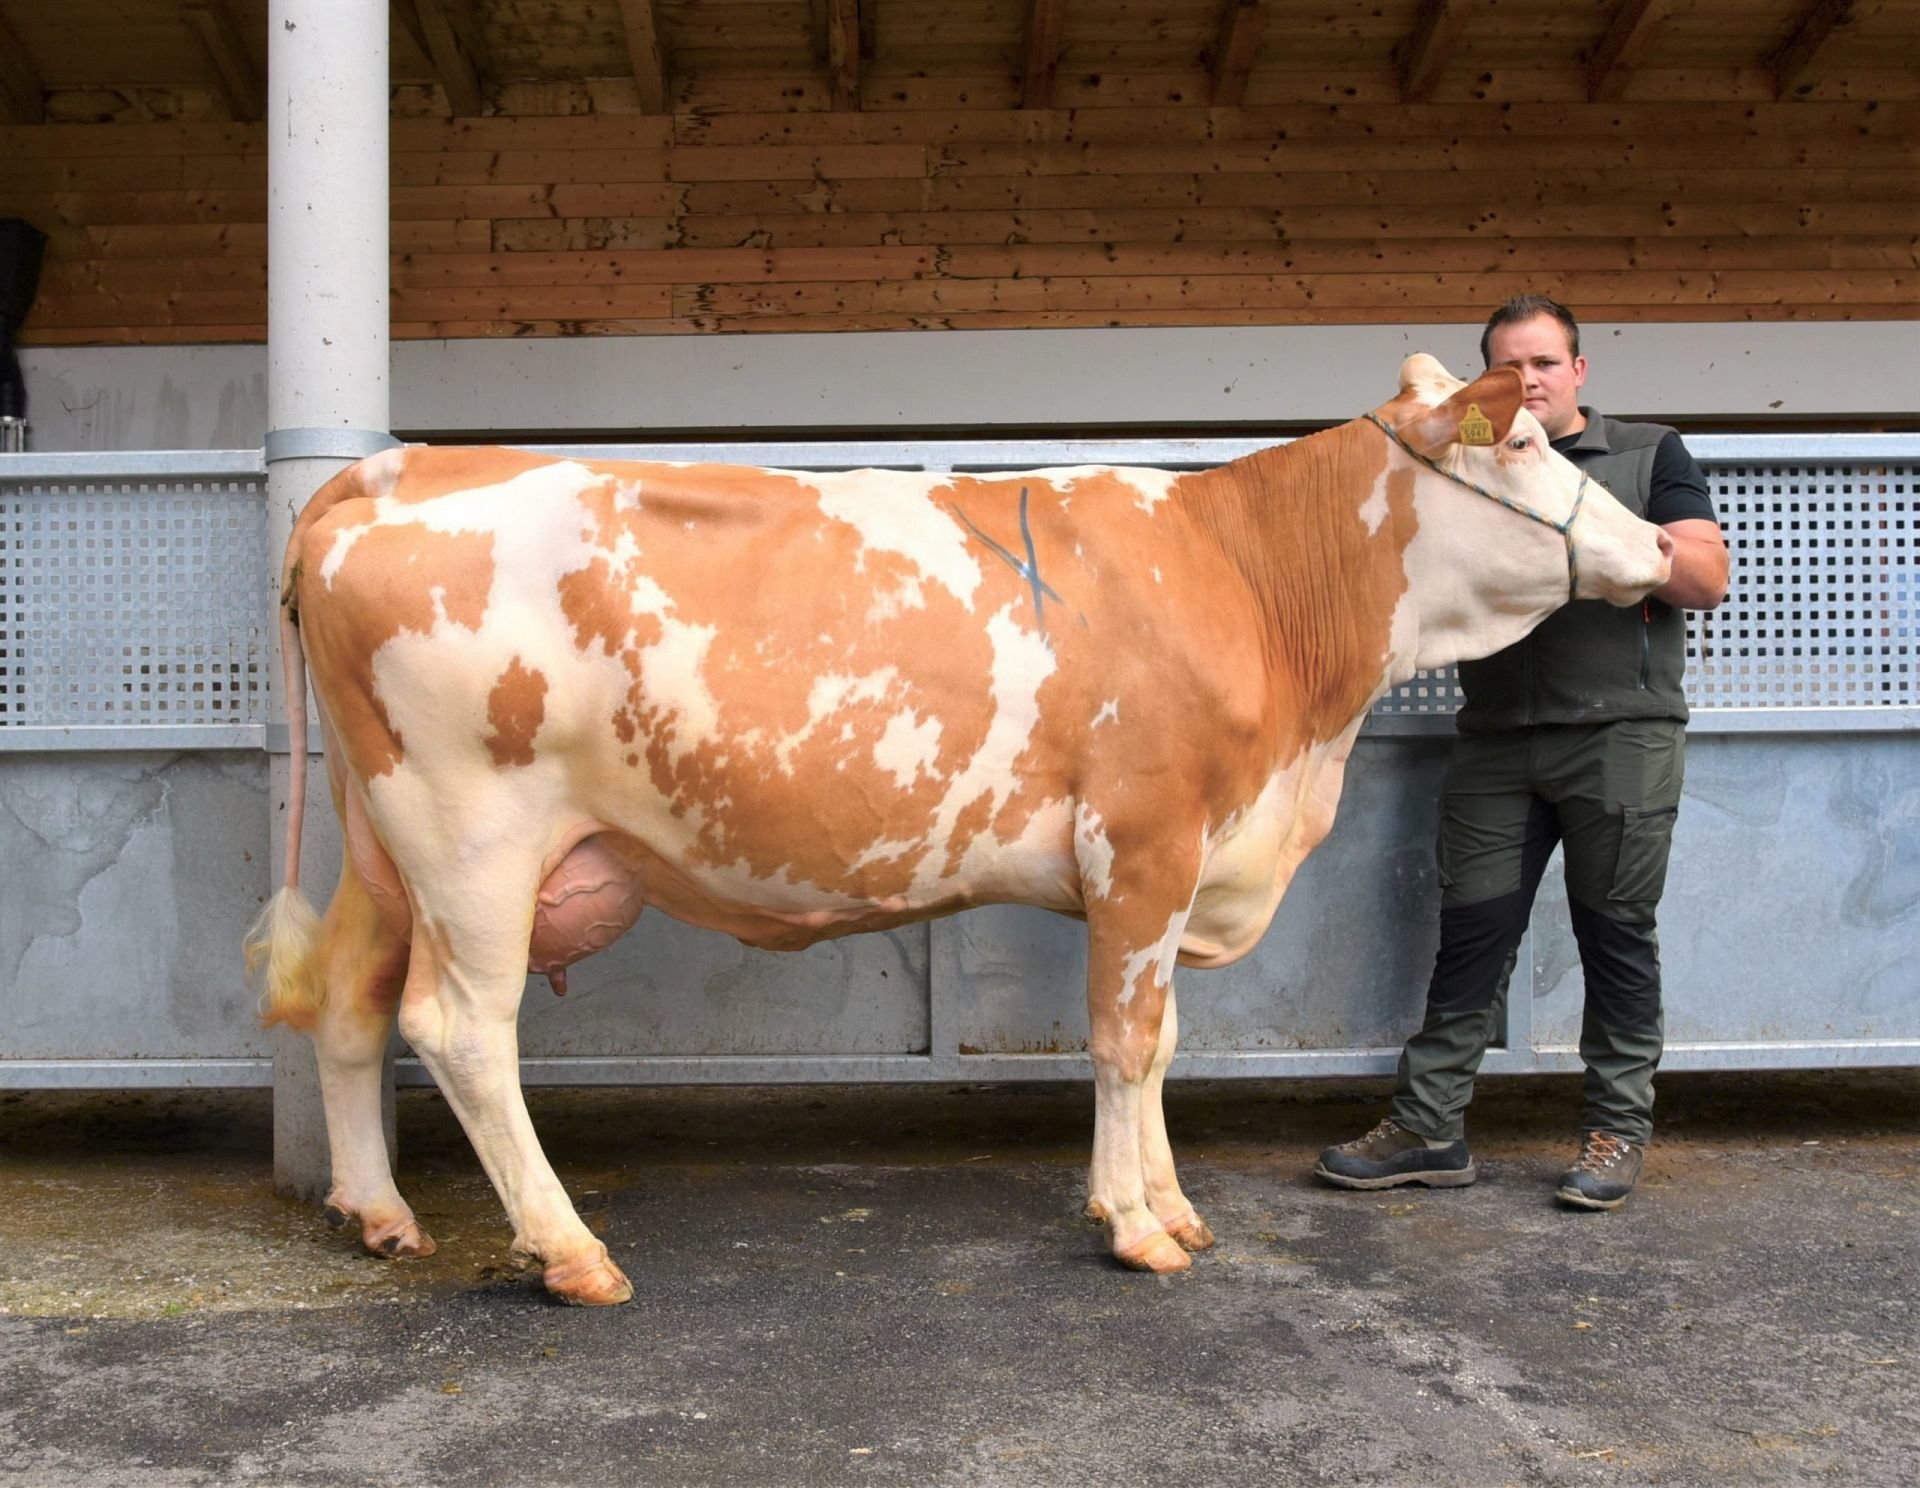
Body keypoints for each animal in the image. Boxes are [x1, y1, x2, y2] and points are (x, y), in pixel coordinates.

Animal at [247, 357, 1674, 1305]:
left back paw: (379, 1212)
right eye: (1528, 447)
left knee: (352, 998)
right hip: (471, 834)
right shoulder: (1146, 839)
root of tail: (399, 468)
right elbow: (1123, 1042)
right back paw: (570, 1251)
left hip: (387, 841)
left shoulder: (1175, 863)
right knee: (461, 1030)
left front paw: (1175, 1206)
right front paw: (1134, 1226)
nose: (1665, 547)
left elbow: (1162, 1041)